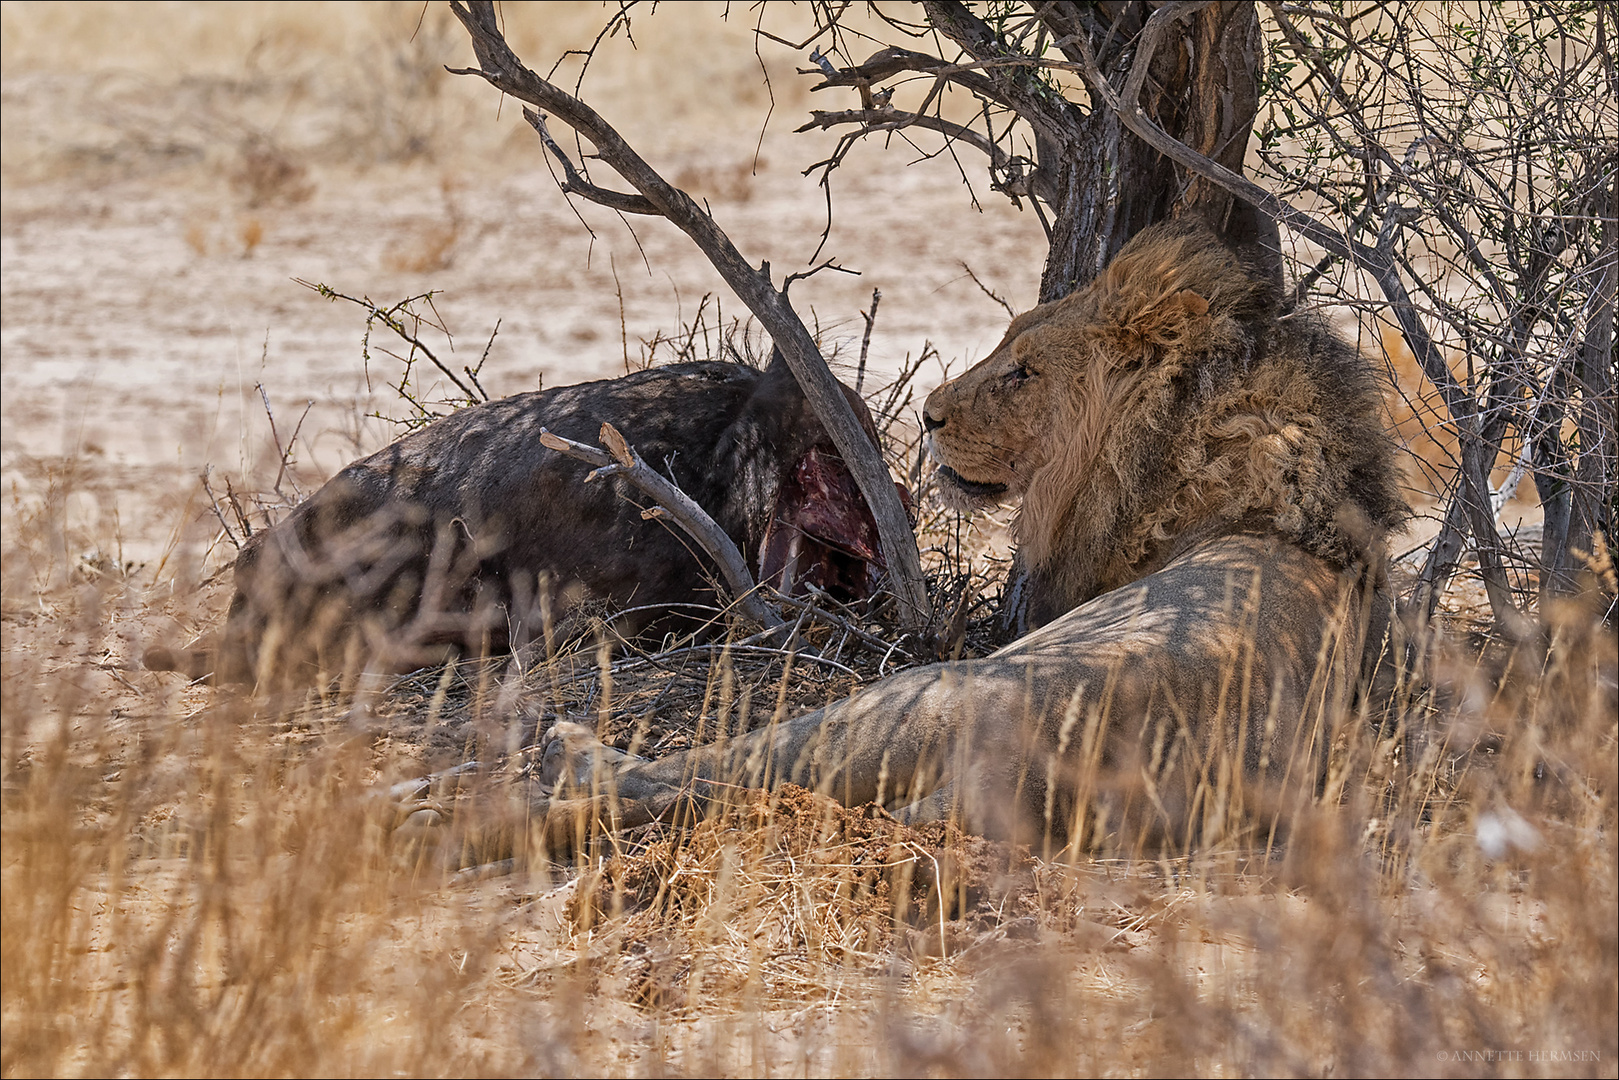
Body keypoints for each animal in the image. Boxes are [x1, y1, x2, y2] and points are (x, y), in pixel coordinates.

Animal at [540, 221, 1405, 861]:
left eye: (1022, 372)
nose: (927, 416)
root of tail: (1011, 776)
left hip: (889, 706)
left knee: (688, 778)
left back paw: (574, 750)